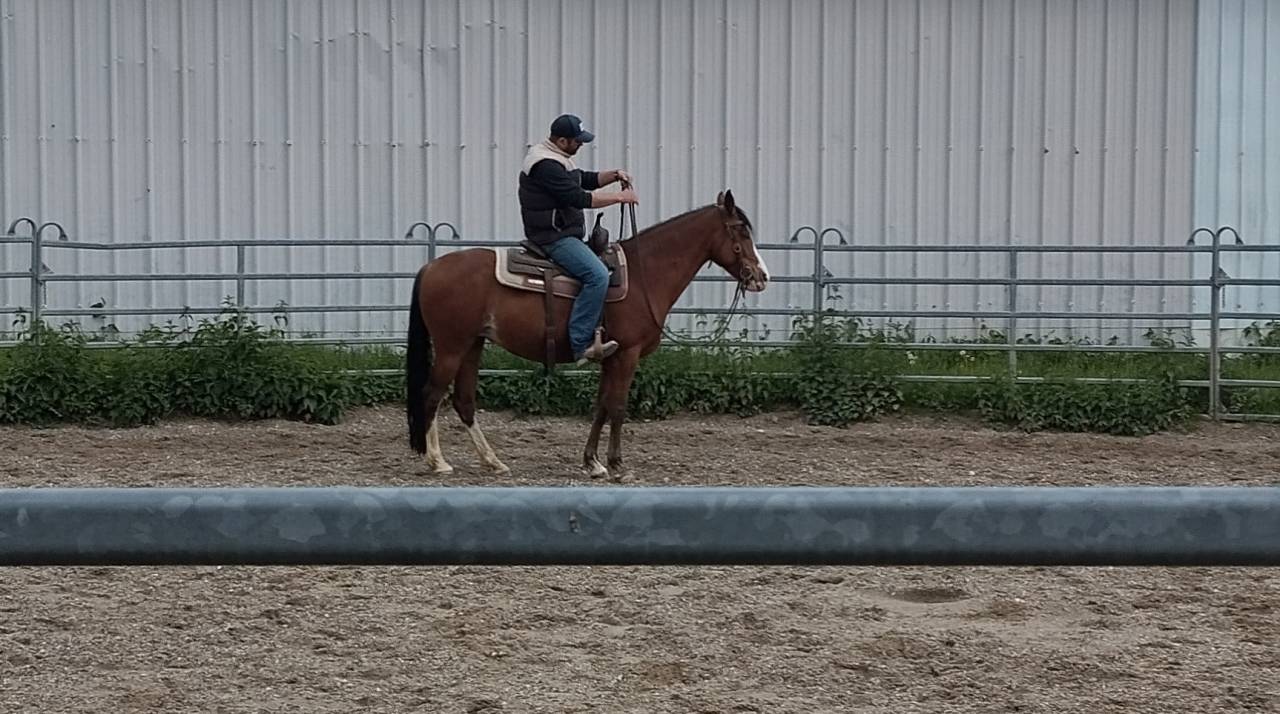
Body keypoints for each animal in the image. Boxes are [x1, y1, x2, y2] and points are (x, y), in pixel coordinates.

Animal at [405, 189, 770, 480]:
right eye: (741, 231)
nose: (762, 276)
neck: (645, 275)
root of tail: (430, 267)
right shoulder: (627, 354)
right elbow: (618, 406)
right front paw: (617, 464)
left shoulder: (611, 355)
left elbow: (601, 406)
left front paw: (592, 462)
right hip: (451, 346)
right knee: (431, 394)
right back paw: (437, 461)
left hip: (473, 345)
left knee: (464, 401)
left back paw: (493, 461)